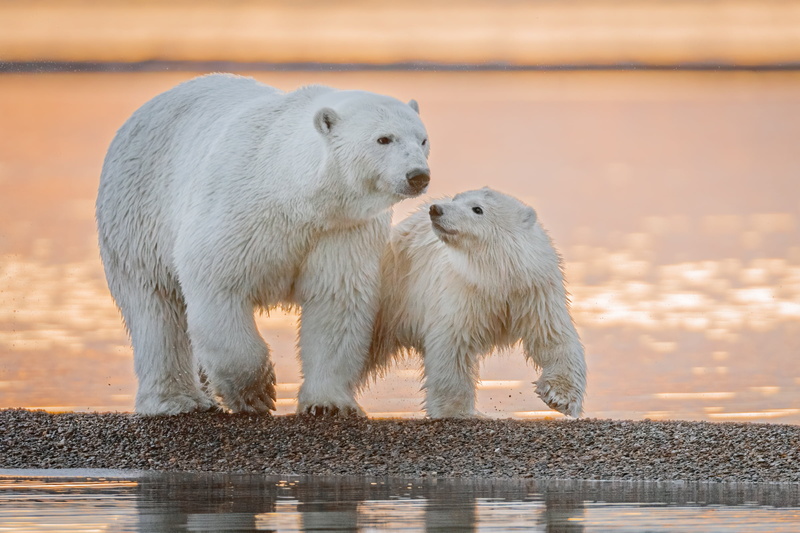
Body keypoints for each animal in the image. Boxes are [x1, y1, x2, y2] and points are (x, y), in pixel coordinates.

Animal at [96, 73, 430, 416]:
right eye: (384, 139)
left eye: (422, 140)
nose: (418, 176)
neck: (295, 193)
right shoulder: (236, 211)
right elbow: (217, 284)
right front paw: (257, 393)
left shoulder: (340, 230)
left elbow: (336, 301)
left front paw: (329, 404)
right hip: (138, 215)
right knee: (155, 307)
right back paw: (176, 400)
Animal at [363, 188, 586, 418]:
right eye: (455, 199)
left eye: (477, 209)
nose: (436, 209)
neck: (499, 277)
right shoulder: (463, 293)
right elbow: (453, 346)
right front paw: (458, 411)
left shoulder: (534, 292)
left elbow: (552, 338)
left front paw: (559, 397)